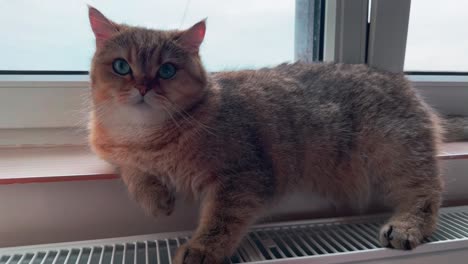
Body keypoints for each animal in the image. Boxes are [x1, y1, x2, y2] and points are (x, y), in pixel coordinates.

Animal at [88, 6, 446, 264]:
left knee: (426, 193)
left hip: (396, 151)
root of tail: (400, 80)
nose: (143, 87)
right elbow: (132, 170)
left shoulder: (244, 178)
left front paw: (202, 249)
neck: (147, 137)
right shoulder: (112, 150)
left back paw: (406, 225)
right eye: (121, 66)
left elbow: (221, 220)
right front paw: (154, 198)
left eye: (167, 70)